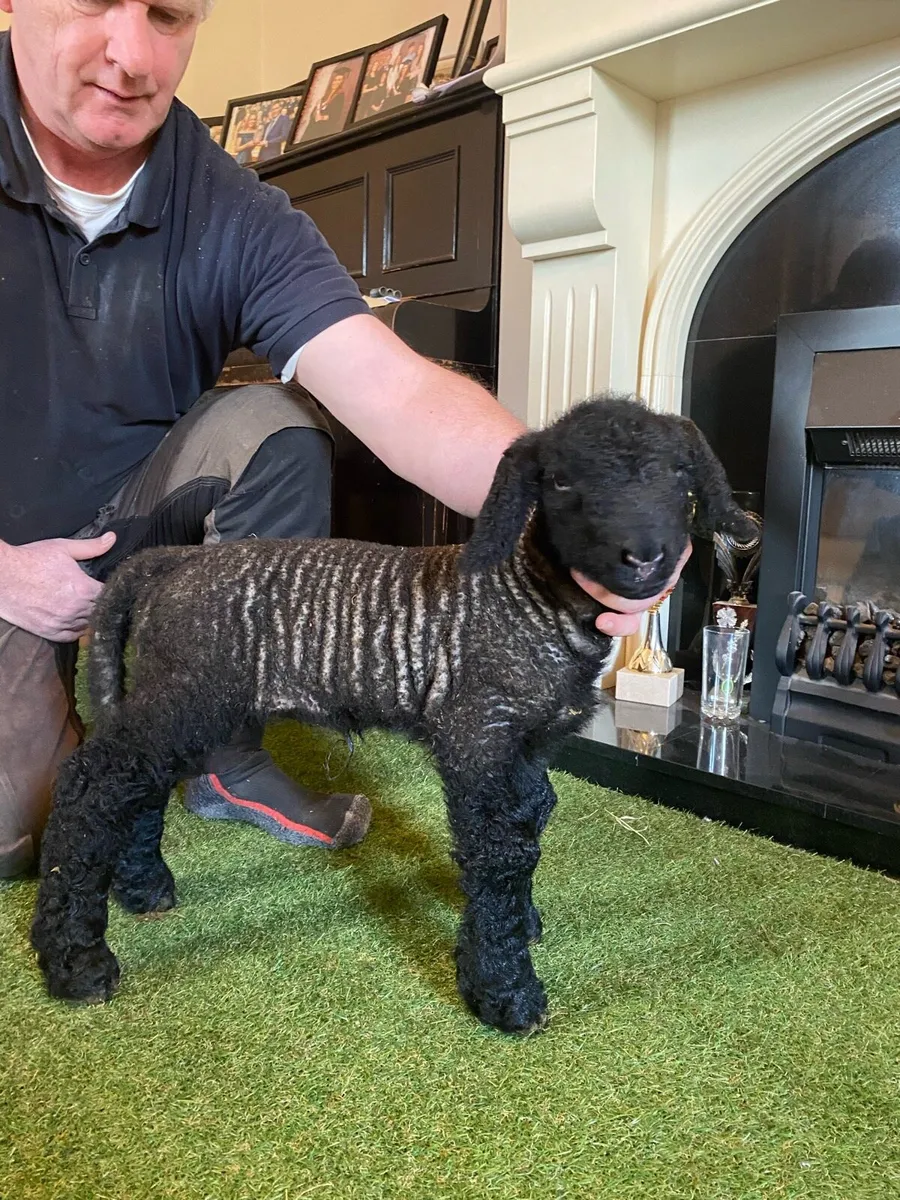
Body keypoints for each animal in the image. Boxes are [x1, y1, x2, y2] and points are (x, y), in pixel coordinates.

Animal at [30, 394, 753, 1034]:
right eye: (563, 480)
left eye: (680, 474)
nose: (644, 556)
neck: (532, 595)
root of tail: (171, 562)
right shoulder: (476, 736)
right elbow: (499, 855)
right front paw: (503, 990)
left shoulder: (525, 751)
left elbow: (528, 833)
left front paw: (519, 926)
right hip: (190, 691)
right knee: (92, 783)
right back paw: (76, 959)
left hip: (180, 696)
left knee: (139, 784)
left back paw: (142, 887)